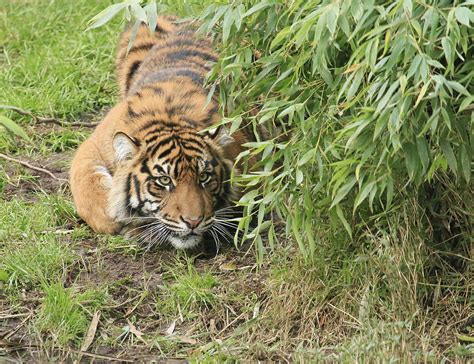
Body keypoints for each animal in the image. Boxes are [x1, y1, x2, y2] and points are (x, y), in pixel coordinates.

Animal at [69, 15, 252, 249]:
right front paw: (117, 218)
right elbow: (86, 187)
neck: (169, 117)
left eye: (204, 177)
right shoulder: (93, 145)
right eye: (164, 181)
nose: (193, 221)